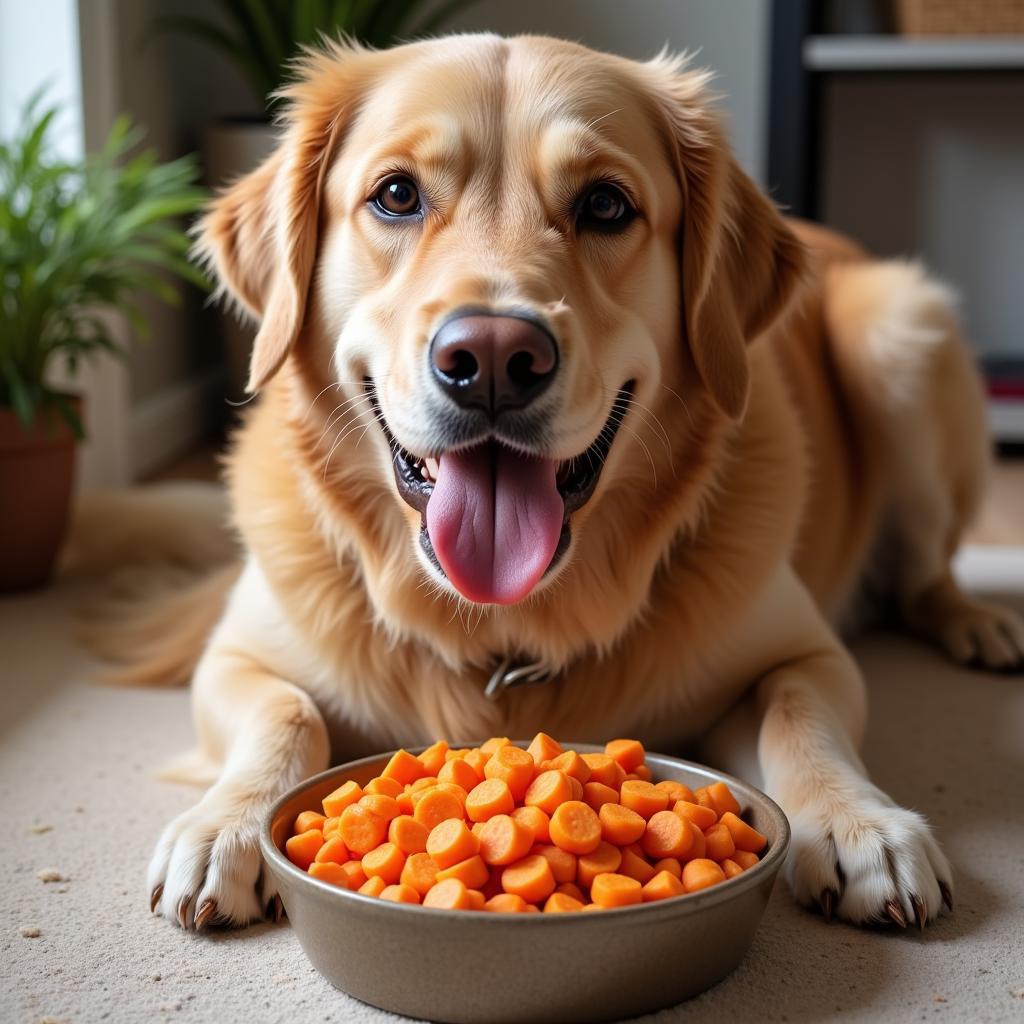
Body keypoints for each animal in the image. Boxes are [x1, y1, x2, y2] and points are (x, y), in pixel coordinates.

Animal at [90, 36, 1024, 937]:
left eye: (606, 205)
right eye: (396, 195)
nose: (493, 359)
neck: (507, 627)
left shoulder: (807, 653)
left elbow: (799, 716)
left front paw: (863, 826)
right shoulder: (238, 656)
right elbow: (288, 715)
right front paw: (228, 826)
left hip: (901, 328)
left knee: (928, 572)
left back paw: (977, 624)